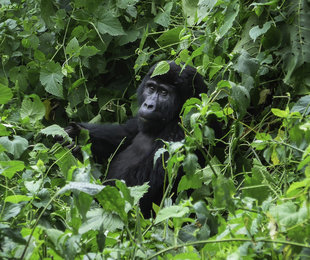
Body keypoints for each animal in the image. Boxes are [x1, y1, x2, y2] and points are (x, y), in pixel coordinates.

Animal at [66, 61, 206, 217]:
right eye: (151, 88)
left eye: (164, 93)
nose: (148, 105)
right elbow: (123, 134)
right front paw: (75, 134)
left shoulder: (181, 134)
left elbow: (133, 195)